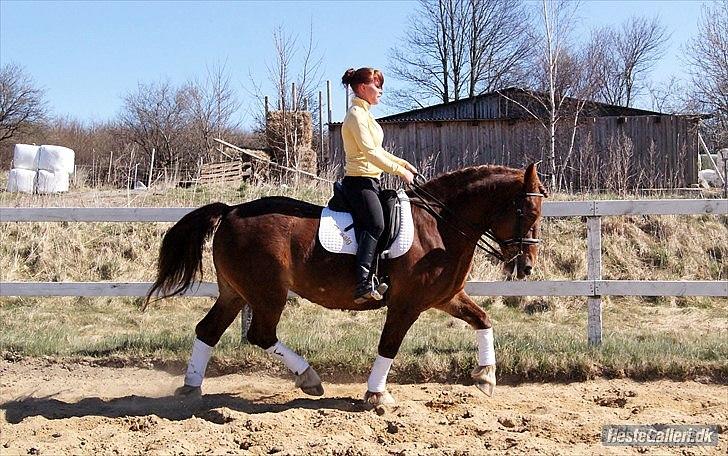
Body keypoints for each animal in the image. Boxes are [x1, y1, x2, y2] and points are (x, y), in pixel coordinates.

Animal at [149, 164, 544, 406]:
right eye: (527, 212)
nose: (525, 267)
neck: (441, 226)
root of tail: (231, 210)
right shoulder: (406, 304)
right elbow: (389, 345)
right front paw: (377, 395)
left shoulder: (447, 297)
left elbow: (483, 320)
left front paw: (486, 377)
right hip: (267, 293)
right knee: (260, 334)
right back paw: (308, 378)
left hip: (235, 292)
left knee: (208, 330)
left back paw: (191, 387)